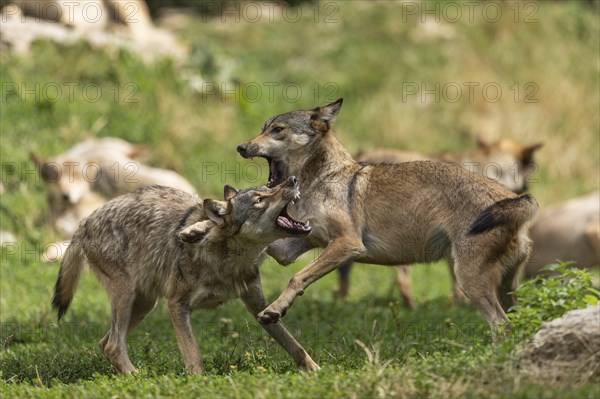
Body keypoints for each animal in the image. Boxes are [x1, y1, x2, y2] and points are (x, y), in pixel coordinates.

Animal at [51, 178, 318, 376]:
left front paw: (315, 370)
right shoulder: (176, 304)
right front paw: (197, 383)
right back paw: (137, 377)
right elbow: (194, 355)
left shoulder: (258, 304)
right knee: (114, 344)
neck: (229, 260)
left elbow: (294, 344)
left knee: (105, 342)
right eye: (259, 200)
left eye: (270, 187)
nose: (293, 179)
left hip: (144, 304)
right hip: (128, 297)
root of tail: (84, 222)